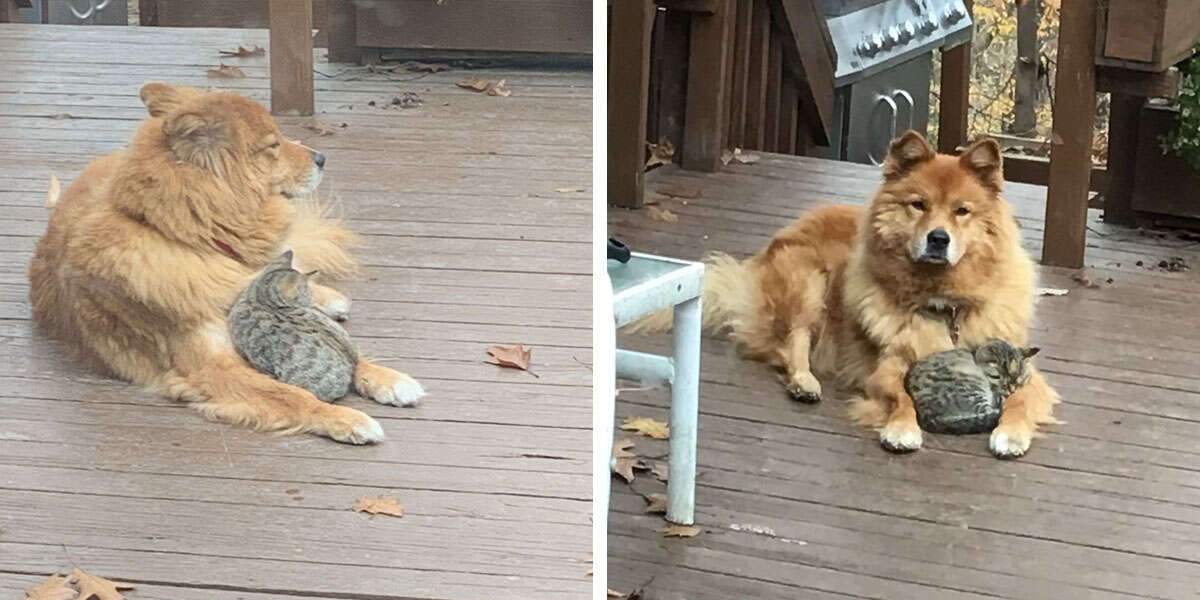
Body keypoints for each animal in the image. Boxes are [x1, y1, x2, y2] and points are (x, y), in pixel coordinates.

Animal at [30, 82, 424, 444]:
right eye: (273, 145)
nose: (322, 158)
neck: (192, 241)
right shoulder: (212, 367)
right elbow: (291, 393)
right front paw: (345, 417)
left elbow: (348, 349)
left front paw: (390, 378)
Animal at [633, 131, 1056, 456]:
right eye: (918, 205)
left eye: (962, 211)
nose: (939, 238)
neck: (943, 303)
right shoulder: (888, 366)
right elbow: (901, 397)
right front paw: (902, 428)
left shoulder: (1024, 369)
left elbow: (1021, 398)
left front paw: (1010, 433)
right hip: (809, 281)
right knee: (790, 343)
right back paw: (804, 383)